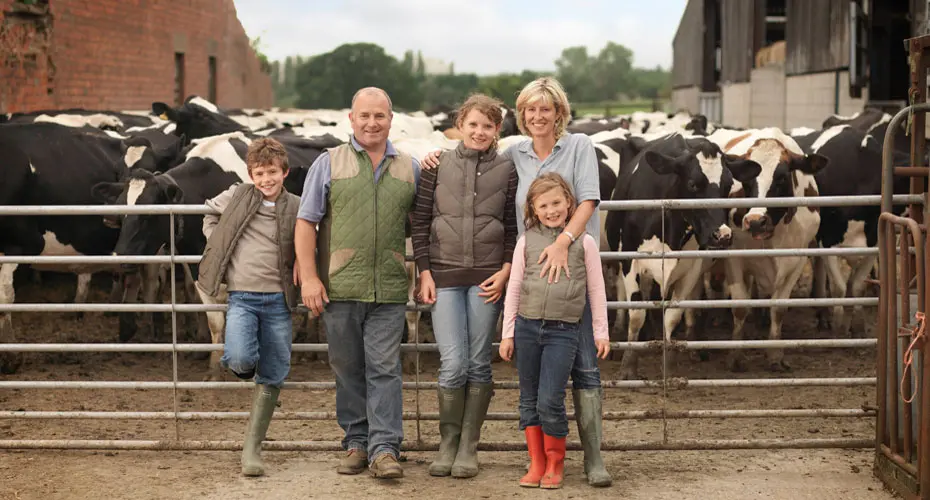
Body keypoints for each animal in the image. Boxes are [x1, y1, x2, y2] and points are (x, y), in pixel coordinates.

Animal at [600, 134, 760, 378]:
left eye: (728, 186)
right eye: (693, 184)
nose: (722, 236)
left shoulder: (691, 269)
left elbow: (673, 316)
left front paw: (669, 366)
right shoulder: (630, 261)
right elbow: (637, 315)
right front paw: (629, 367)